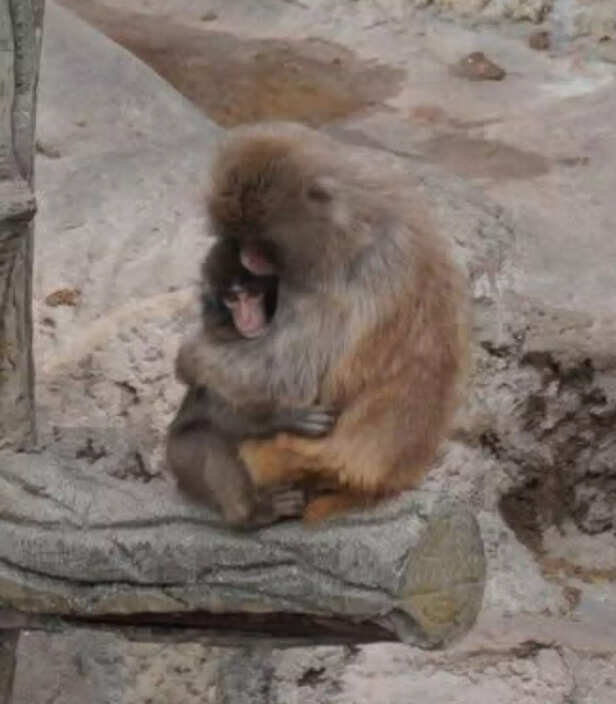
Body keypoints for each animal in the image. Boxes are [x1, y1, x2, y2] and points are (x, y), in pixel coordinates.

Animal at [176, 121, 470, 522]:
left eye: (260, 241)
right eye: (241, 237)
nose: (248, 258)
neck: (353, 219)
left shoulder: (334, 279)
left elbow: (287, 373)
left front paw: (190, 358)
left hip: (276, 456)